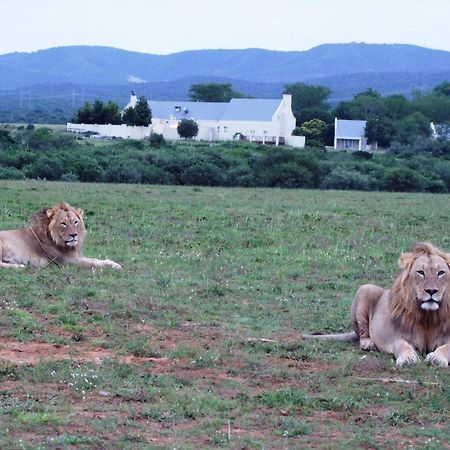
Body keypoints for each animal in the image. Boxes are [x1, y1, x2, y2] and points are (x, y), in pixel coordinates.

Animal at [302, 243, 450, 366]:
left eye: (441, 273)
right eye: (420, 272)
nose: (431, 291)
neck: (428, 317)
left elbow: (446, 348)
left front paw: (437, 358)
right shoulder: (398, 336)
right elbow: (402, 346)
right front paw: (407, 358)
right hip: (366, 289)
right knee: (362, 333)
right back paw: (368, 344)